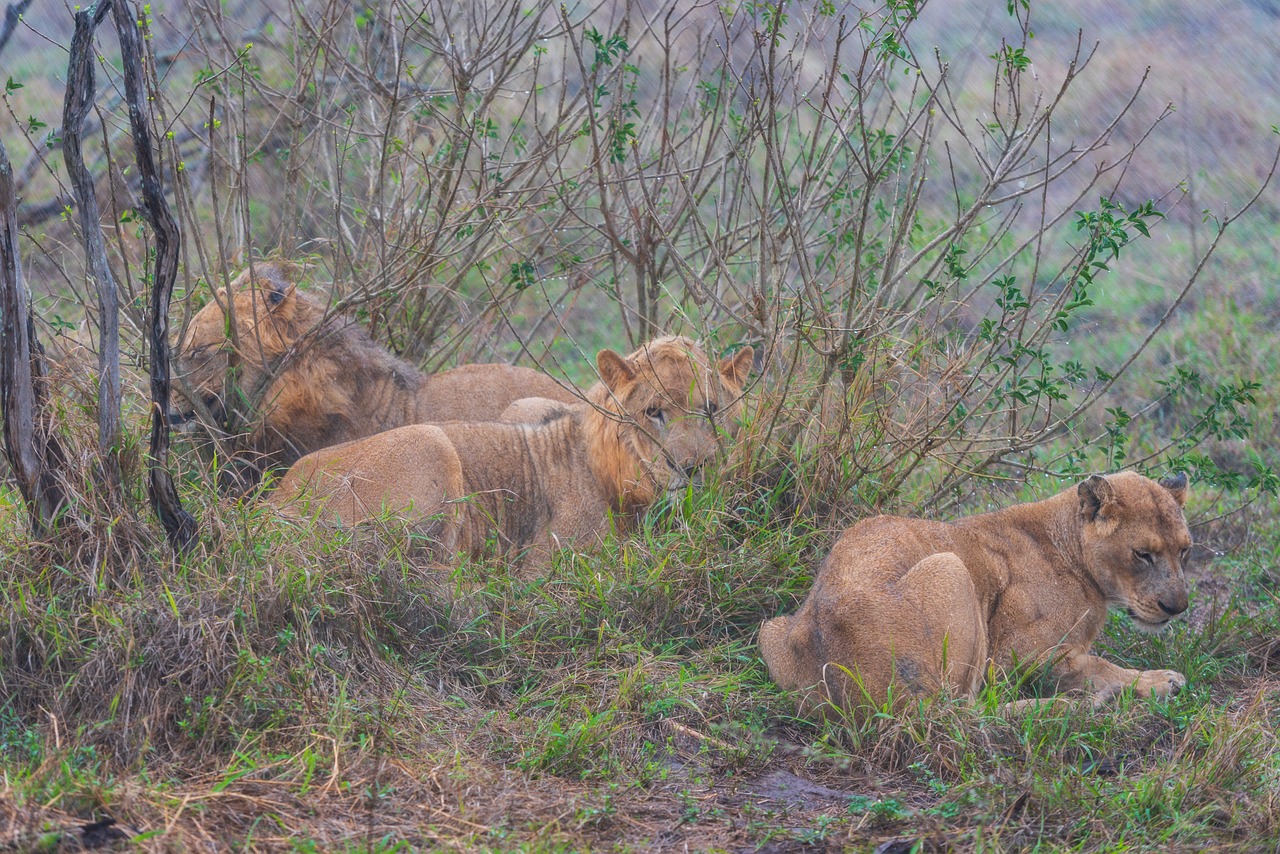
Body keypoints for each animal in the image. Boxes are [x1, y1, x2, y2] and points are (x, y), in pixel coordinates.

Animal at [270, 338, 747, 571]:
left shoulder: (528, 408)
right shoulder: (546, 567)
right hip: (432, 442)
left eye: (711, 409)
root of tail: (272, 503)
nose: (691, 468)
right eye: (653, 412)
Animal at [757, 471, 1187, 717]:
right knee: (968, 711)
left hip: (771, 627)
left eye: (1185, 549)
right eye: (1142, 554)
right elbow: (1097, 666)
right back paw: (1062, 707)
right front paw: (1161, 681)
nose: (1178, 608)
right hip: (951, 567)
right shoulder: (1015, 656)